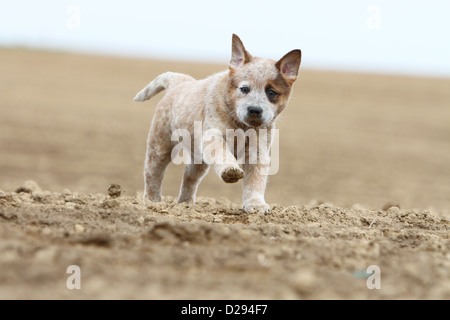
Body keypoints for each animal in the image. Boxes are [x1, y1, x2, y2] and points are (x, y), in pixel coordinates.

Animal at [134, 35, 302, 214]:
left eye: (271, 93)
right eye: (244, 89)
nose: (254, 109)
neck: (242, 126)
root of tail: (180, 82)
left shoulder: (257, 151)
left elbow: (255, 181)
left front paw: (256, 204)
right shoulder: (213, 137)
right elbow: (223, 154)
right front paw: (230, 170)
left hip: (197, 157)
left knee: (189, 175)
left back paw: (186, 204)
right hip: (160, 145)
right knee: (153, 172)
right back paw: (153, 202)